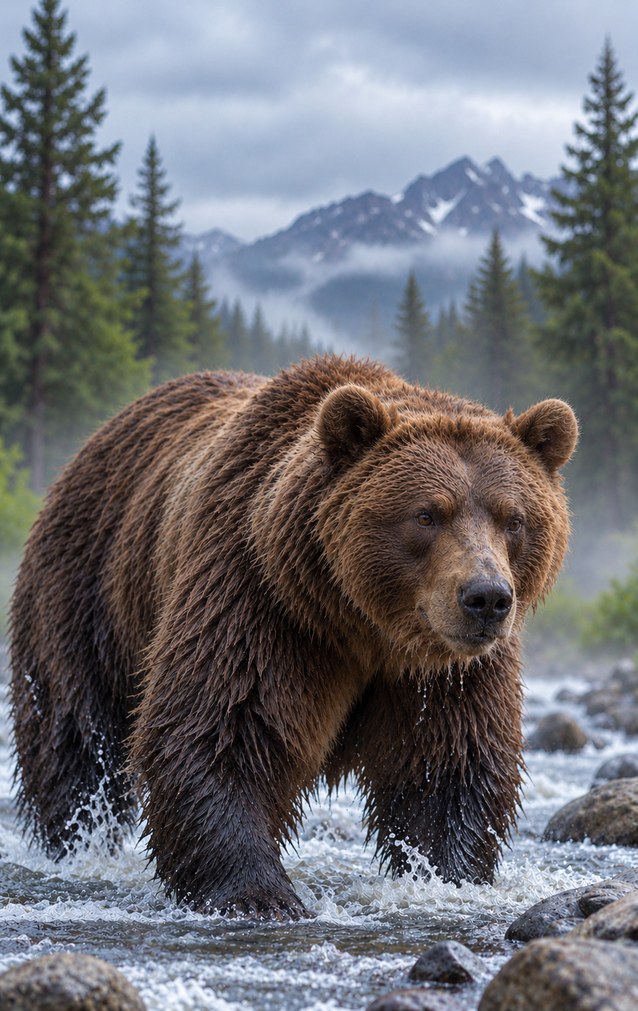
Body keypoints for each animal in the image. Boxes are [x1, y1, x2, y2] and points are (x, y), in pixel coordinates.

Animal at [9, 355, 578, 919]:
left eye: (513, 518)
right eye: (427, 514)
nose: (486, 597)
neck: (364, 628)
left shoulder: (444, 672)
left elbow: (449, 762)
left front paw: (444, 877)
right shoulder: (263, 600)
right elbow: (220, 728)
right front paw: (260, 893)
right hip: (88, 591)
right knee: (76, 737)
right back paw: (79, 839)